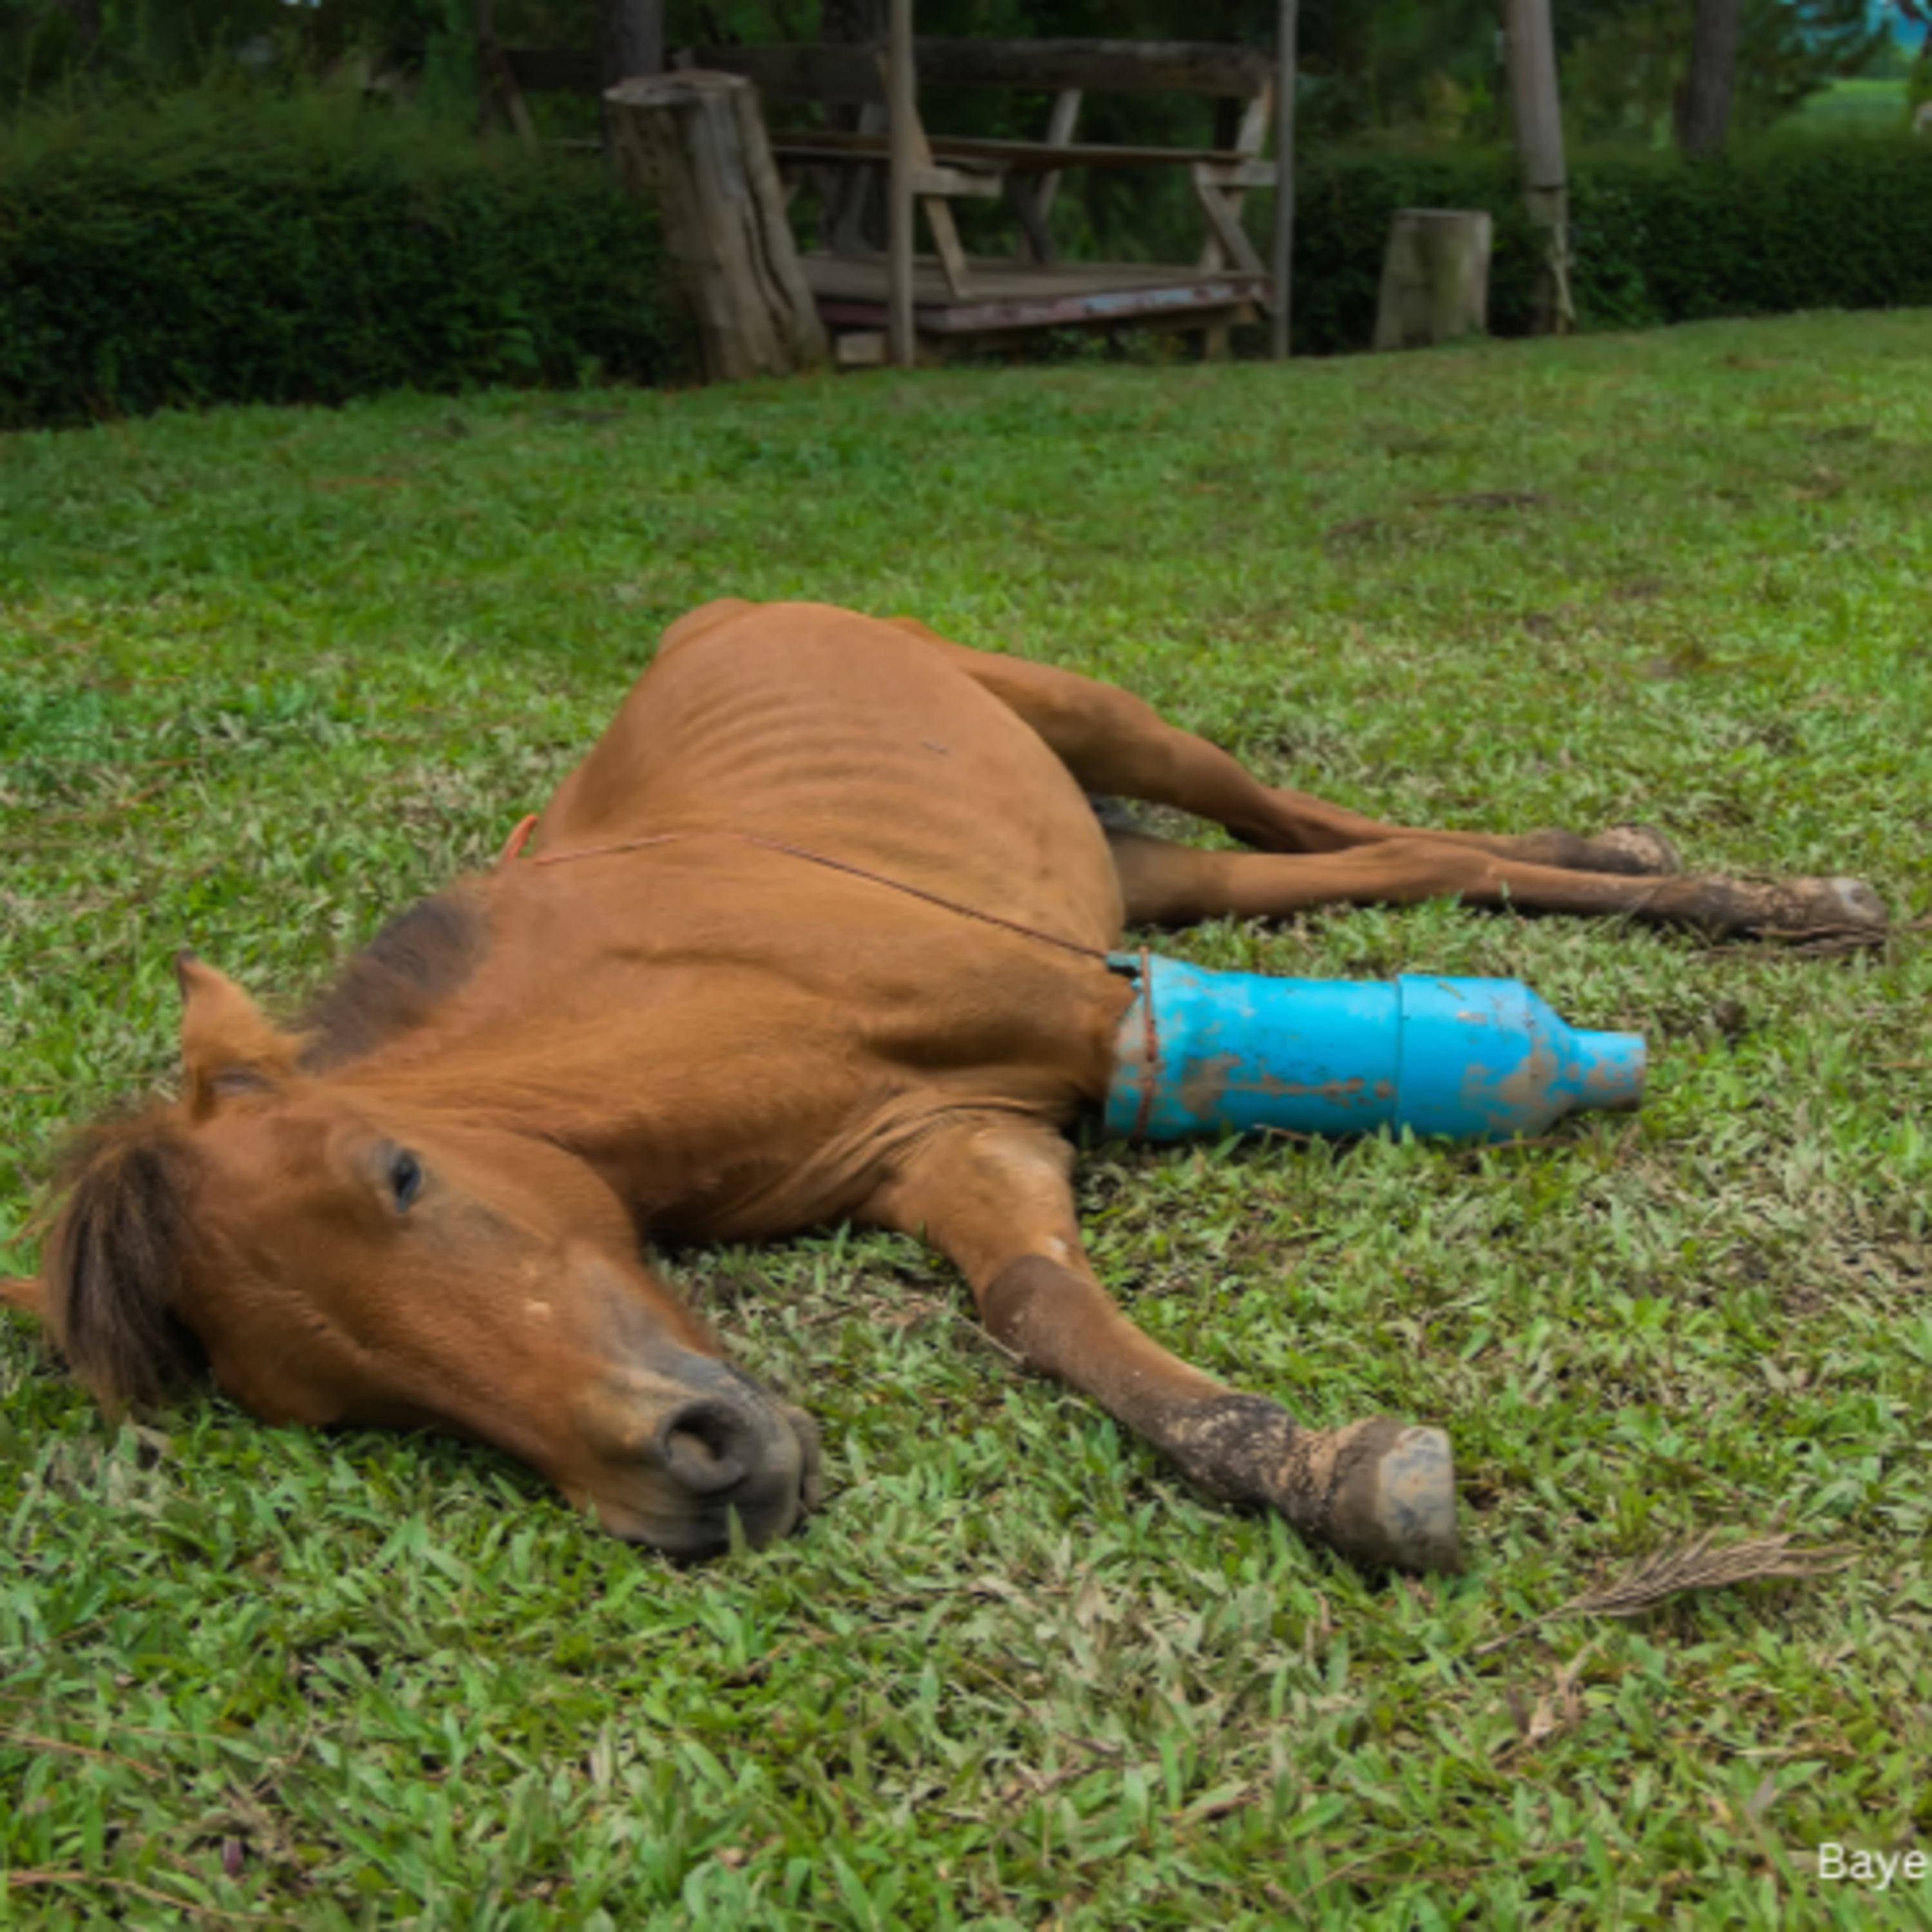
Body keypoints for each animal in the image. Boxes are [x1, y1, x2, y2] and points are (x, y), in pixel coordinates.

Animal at [0, 600, 1888, 1575]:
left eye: (397, 1174)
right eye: (333, 1405)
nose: (693, 1475)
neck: (670, 994)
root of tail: (728, 610)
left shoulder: (1078, 1002)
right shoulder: (959, 1144)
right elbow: (1053, 1320)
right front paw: (1332, 1469)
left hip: (1112, 733)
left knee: (1330, 823)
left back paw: (1737, 888)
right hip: (1135, 872)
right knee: (1354, 862)